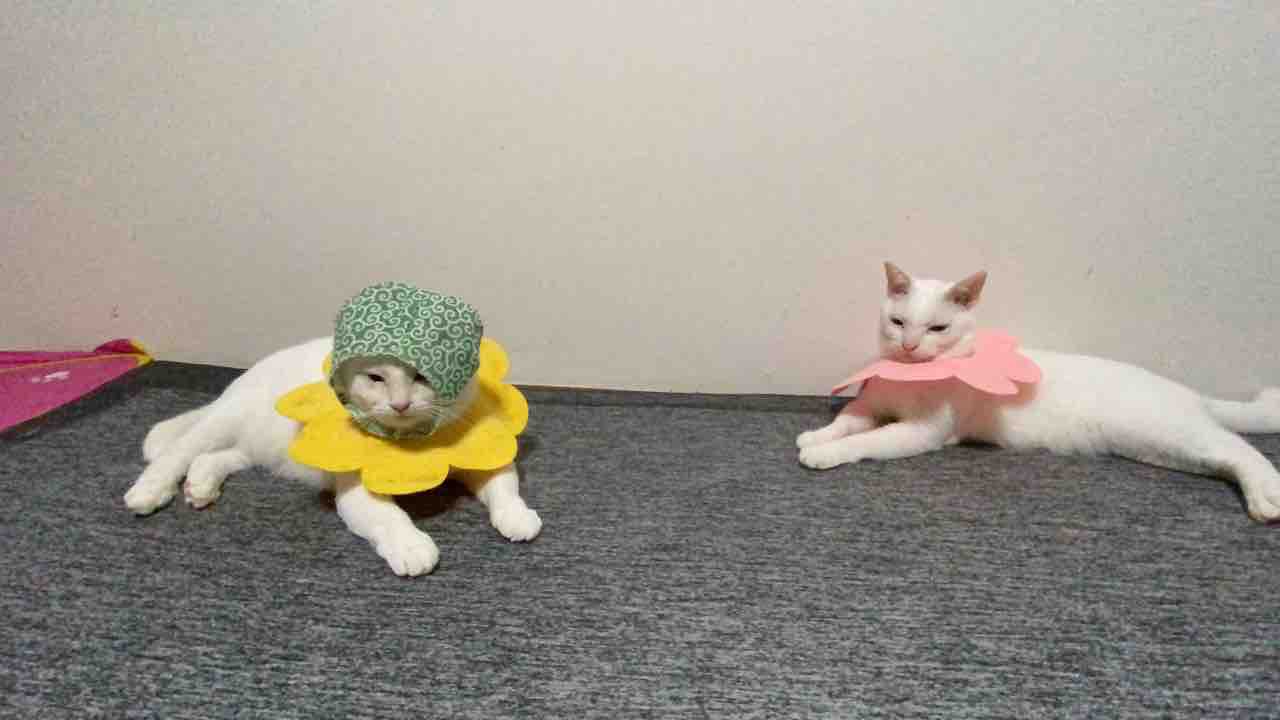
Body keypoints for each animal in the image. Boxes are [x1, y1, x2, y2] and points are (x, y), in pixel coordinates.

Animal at [124, 337, 542, 576]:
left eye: (422, 377)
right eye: (376, 378)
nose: (400, 404)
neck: (411, 440)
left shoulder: (483, 455)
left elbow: (504, 488)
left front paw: (517, 517)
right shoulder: (358, 492)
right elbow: (391, 518)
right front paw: (412, 547)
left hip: (257, 448)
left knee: (217, 458)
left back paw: (201, 486)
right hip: (223, 421)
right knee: (179, 451)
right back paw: (149, 492)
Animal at [796, 262, 1280, 522]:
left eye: (938, 328)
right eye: (898, 322)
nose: (910, 346)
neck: (907, 379)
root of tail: (1184, 390)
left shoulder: (919, 431)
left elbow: (867, 439)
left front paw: (823, 454)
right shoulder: (870, 404)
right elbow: (847, 420)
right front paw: (815, 436)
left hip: (1170, 431)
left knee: (1239, 448)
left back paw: (1267, 496)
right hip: (1160, 449)